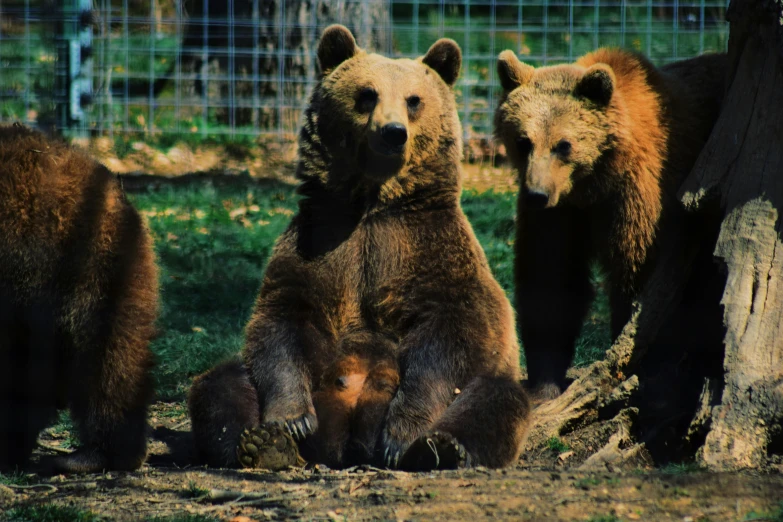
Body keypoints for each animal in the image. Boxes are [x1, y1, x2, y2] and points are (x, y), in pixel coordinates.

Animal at [188, 24, 532, 470]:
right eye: (367, 93)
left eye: (414, 99)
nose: (393, 132)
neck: (372, 203)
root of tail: (346, 447)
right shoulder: (323, 242)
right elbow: (284, 319)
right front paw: (291, 419)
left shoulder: (427, 248)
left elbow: (450, 334)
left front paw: (403, 435)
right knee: (221, 384)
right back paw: (264, 444)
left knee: (498, 400)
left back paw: (440, 448)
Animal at [496, 49, 728, 398]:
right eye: (523, 140)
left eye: (563, 144)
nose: (537, 193)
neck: (592, 185)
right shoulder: (560, 215)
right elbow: (550, 278)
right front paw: (544, 383)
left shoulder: (640, 197)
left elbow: (639, 278)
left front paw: (643, 371)